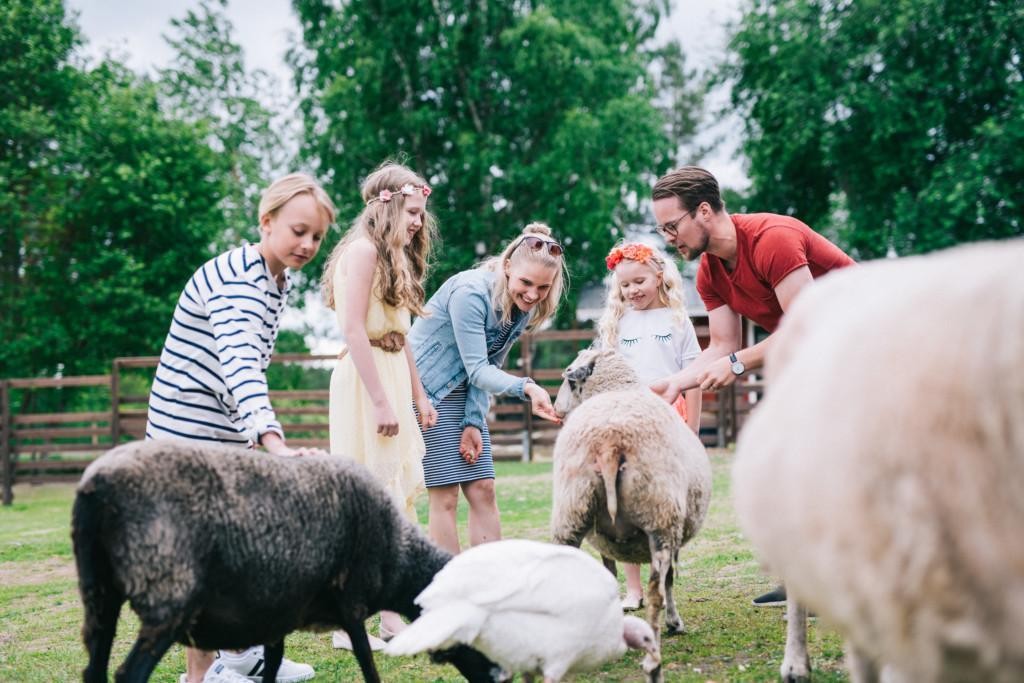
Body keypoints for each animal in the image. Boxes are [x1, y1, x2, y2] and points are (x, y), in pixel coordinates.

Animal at [552, 350, 712, 679]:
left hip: (571, 510)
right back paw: (654, 659)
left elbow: (610, 572)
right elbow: (671, 579)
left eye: (567, 380)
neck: (616, 387)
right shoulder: (673, 531)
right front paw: (675, 623)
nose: (555, 408)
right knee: (656, 592)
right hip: (660, 515)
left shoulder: (603, 539)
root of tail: (609, 442)